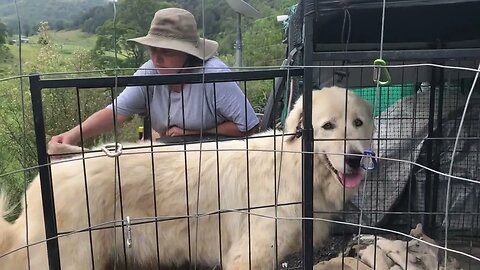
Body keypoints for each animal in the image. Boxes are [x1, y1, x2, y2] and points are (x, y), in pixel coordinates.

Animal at [0, 86, 376, 268]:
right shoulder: (248, 256)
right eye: (327, 126)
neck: (294, 165)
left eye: (358, 123)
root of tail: (42, 178)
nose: (356, 159)